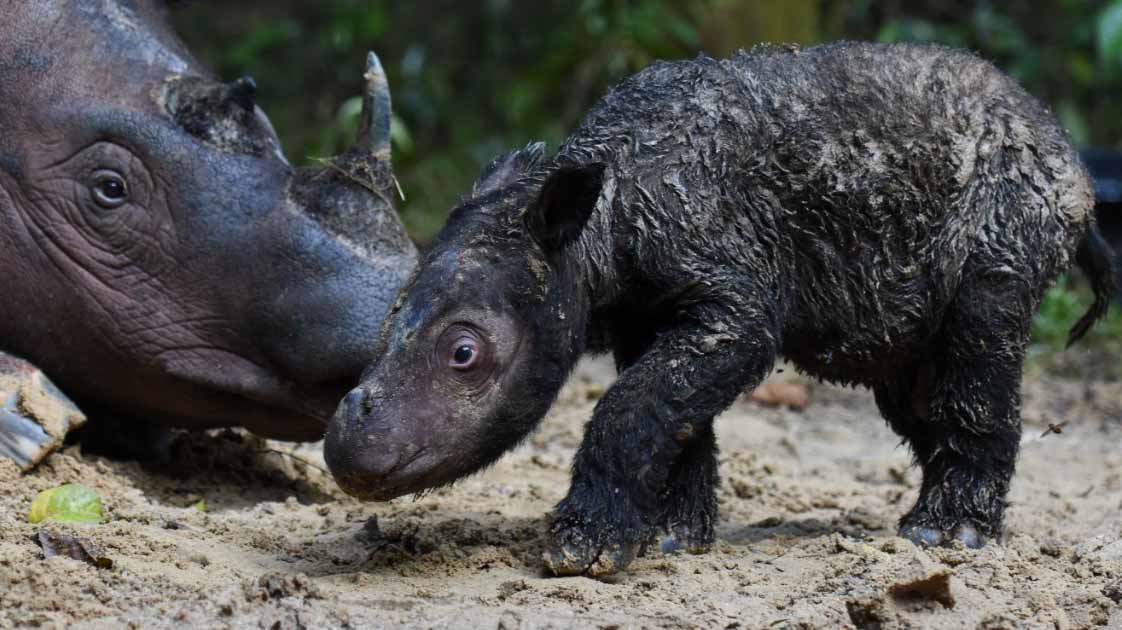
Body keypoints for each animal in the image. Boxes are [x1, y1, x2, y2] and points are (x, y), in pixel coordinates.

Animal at [325, 42, 1113, 574]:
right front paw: (669, 540)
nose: (345, 448)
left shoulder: (733, 299)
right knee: (914, 380)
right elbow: (673, 414)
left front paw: (583, 551)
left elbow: (631, 406)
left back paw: (945, 539)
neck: (597, 224)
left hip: (1013, 212)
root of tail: (1073, 162)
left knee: (978, 339)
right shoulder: (647, 313)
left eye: (464, 353)